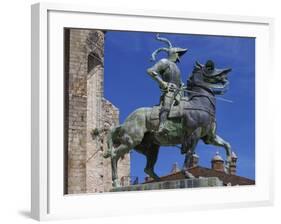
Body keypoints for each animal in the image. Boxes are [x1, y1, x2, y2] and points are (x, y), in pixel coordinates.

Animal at [103, 60, 232, 187]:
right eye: (210, 67)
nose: (226, 73)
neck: (200, 103)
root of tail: (124, 123)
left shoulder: (209, 137)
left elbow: (227, 145)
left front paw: (228, 162)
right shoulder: (194, 134)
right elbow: (189, 153)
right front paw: (188, 174)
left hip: (152, 148)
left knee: (148, 169)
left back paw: (160, 182)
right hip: (132, 141)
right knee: (114, 155)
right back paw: (116, 183)